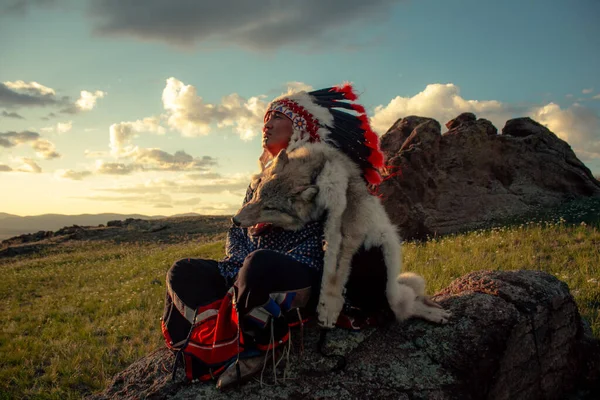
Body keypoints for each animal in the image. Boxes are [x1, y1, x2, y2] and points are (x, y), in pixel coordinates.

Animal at [232, 143, 448, 328]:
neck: (316, 171)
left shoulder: (343, 227)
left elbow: (334, 275)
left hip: (379, 259)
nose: (235, 219)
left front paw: (328, 309)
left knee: (406, 304)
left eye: (269, 208)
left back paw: (430, 313)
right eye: (256, 195)